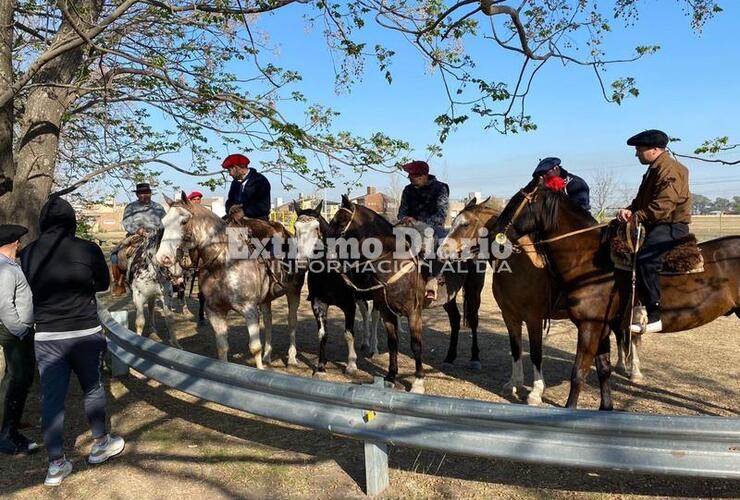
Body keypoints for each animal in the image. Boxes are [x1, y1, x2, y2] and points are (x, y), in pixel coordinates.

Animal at [324, 195, 486, 394]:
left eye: (340, 220)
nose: (324, 246)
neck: (394, 261)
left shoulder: (414, 312)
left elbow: (416, 345)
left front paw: (418, 382)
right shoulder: (387, 312)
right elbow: (393, 343)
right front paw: (391, 376)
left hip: (474, 290)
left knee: (474, 320)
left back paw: (475, 359)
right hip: (449, 297)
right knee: (455, 320)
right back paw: (449, 358)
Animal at [440, 197, 640, 404]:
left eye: (465, 224)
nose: (441, 251)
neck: (519, 264)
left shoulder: (533, 318)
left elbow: (536, 353)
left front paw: (536, 392)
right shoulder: (509, 316)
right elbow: (516, 349)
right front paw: (514, 383)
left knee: (631, 337)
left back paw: (633, 371)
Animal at [494, 178, 736, 408]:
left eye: (516, 201)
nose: (496, 230)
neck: (590, 262)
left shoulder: (586, 326)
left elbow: (577, 373)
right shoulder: (600, 328)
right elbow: (603, 369)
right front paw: (606, 407)